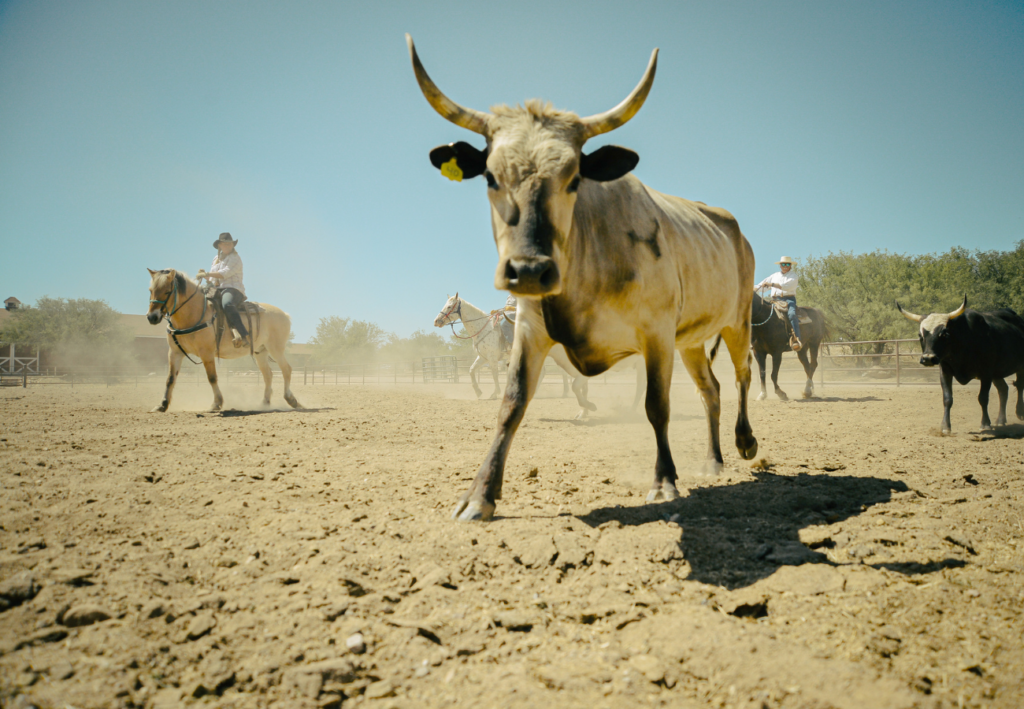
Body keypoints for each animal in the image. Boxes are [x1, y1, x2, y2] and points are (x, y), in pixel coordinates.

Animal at [146, 268, 301, 411]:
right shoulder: (174, 352)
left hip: (276, 349)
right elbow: (170, 378)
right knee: (268, 374)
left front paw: (216, 403)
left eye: (167, 291)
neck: (194, 313)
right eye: (150, 290)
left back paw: (291, 400)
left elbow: (212, 377)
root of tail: (284, 314)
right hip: (260, 352)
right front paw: (162, 405)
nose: (152, 317)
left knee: (286, 369)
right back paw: (265, 403)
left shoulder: (207, 353)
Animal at [434, 293, 598, 415]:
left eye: (449, 306)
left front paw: (494, 393)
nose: (437, 321)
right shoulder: (483, 357)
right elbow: (471, 371)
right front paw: (479, 391)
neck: (485, 329)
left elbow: (494, 375)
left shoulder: (492, 358)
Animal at [897, 295, 1024, 432]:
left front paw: (985, 423)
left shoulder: (986, 373)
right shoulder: (945, 371)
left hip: (1018, 368)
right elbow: (947, 398)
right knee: (1003, 390)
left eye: (944, 334)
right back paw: (1001, 420)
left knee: (1019, 386)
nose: (928, 358)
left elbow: (983, 398)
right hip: (997, 373)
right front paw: (945, 426)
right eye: (920, 335)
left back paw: (1019, 412)